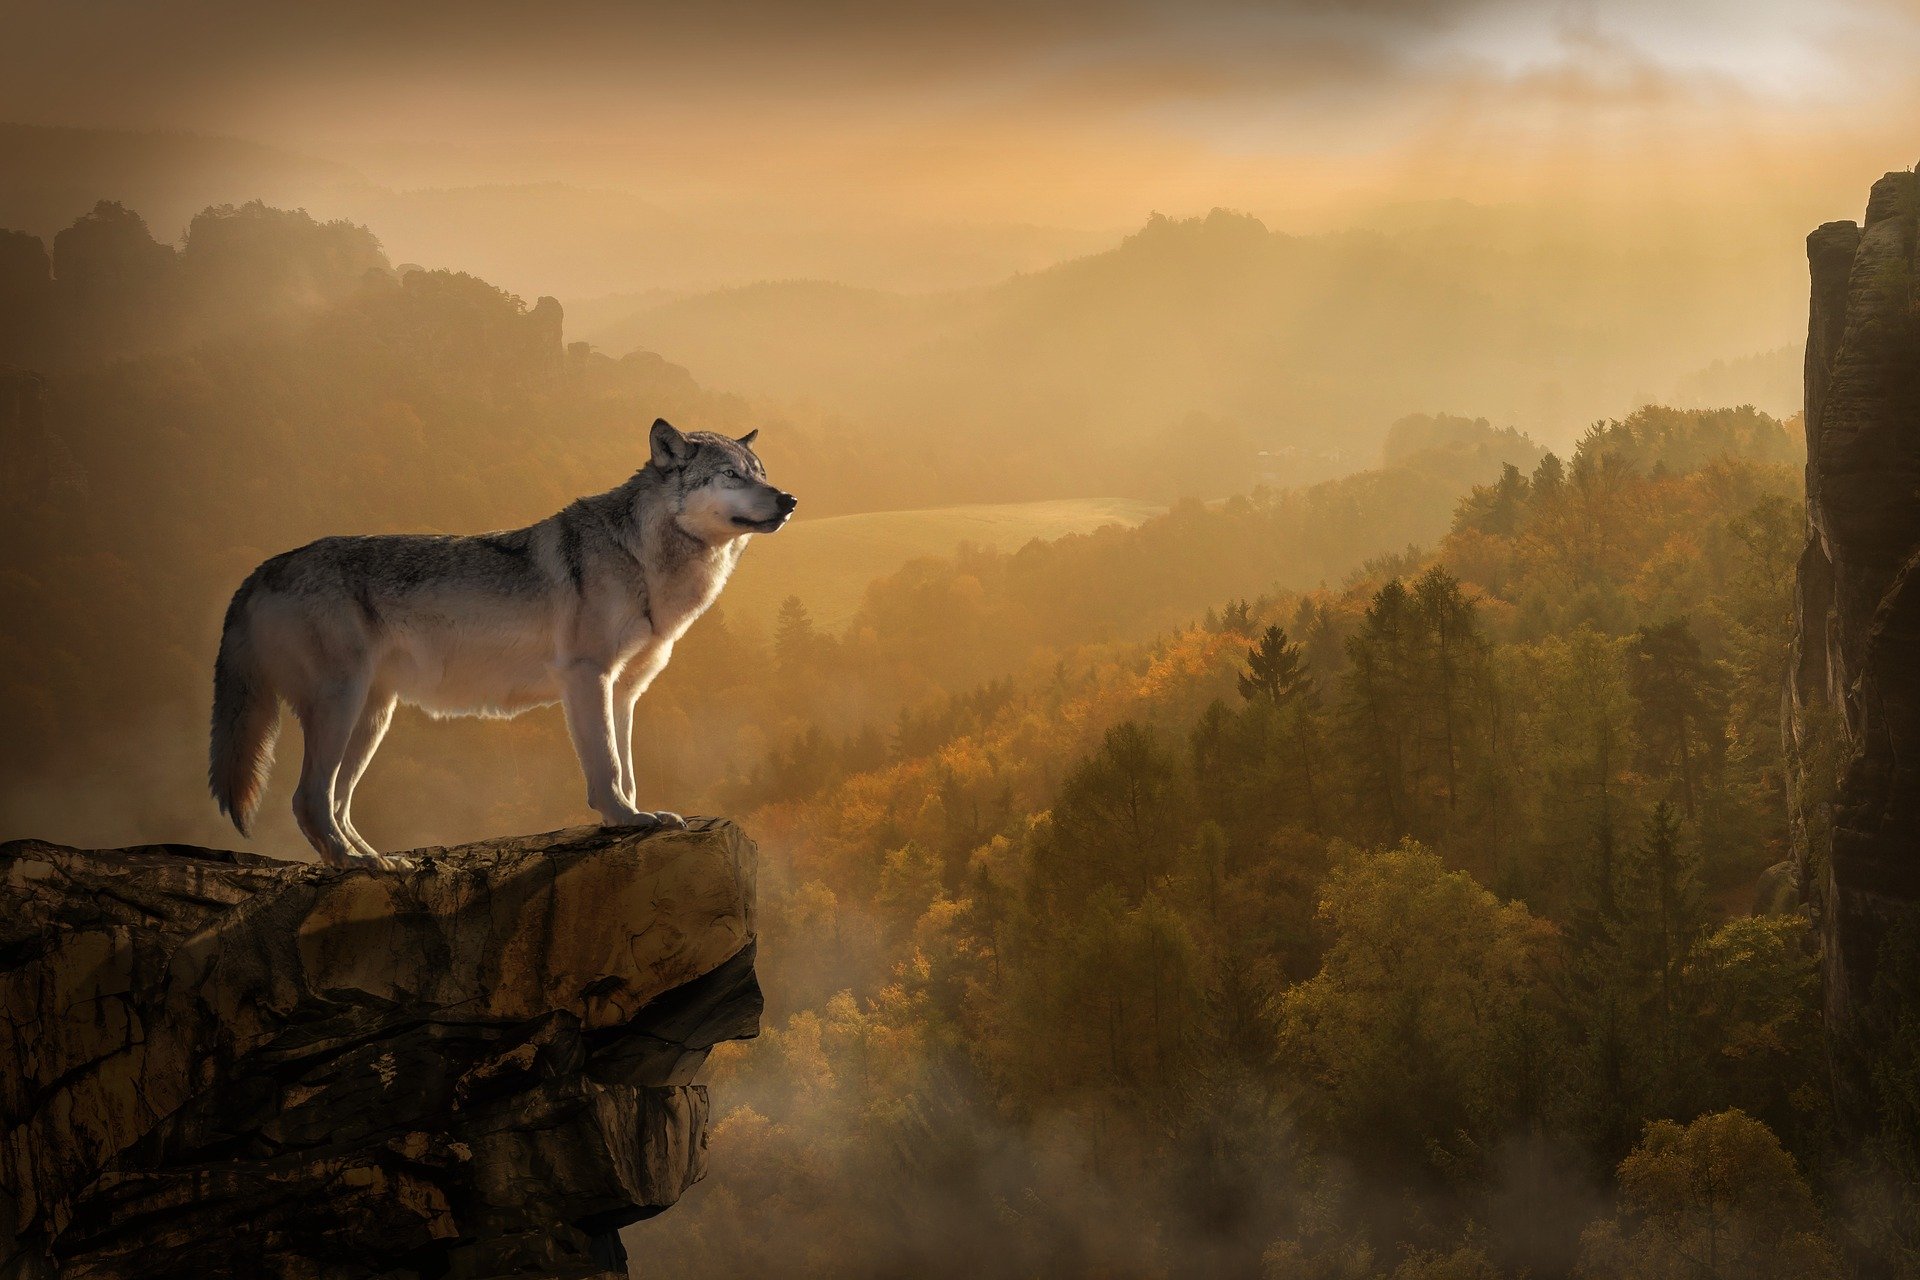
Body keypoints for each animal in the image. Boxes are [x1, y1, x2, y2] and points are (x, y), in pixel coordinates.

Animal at [212, 420, 802, 871]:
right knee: (310, 799)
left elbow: (629, 769)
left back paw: (380, 861)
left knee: (337, 801)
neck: (643, 557)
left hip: (373, 716)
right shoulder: (586, 677)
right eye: (730, 475)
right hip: (342, 705)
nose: (790, 499)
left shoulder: (624, 691)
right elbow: (608, 768)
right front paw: (624, 819)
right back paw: (354, 865)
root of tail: (261, 569)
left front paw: (639, 817)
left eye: (761, 473)